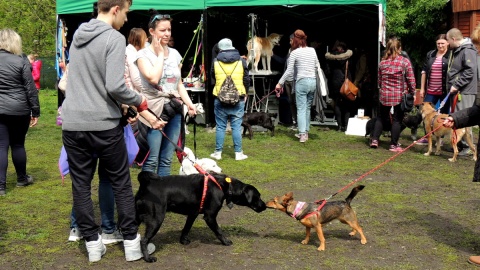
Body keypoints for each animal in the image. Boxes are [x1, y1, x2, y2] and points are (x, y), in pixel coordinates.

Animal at [134, 172, 266, 262]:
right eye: (258, 196)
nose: (265, 206)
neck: (224, 186)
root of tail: (146, 185)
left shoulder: (192, 214)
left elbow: (186, 229)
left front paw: (183, 241)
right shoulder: (210, 216)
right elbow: (219, 231)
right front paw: (226, 241)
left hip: (137, 218)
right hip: (156, 220)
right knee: (143, 241)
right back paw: (148, 259)